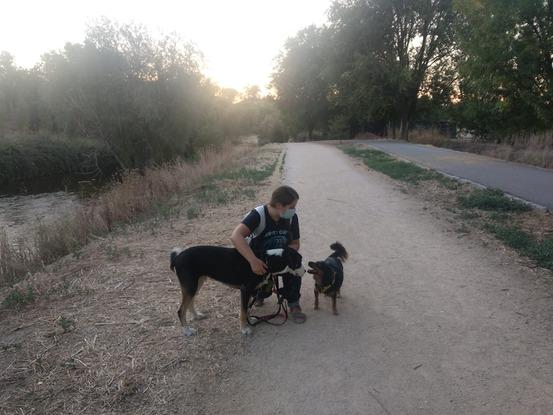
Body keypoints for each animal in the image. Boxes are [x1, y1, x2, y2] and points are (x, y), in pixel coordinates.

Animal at [169, 245, 304, 336]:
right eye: (299, 261)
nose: (305, 271)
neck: (266, 260)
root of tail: (177, 256)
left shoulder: (249, 292)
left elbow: (247, 309)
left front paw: (250, 320)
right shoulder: (245, 290)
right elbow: (243, 311)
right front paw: (244, 329)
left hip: (196, 285)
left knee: (189, 303)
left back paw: (196, 316)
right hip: (191, 286)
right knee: (181, 310)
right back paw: (187, 330)